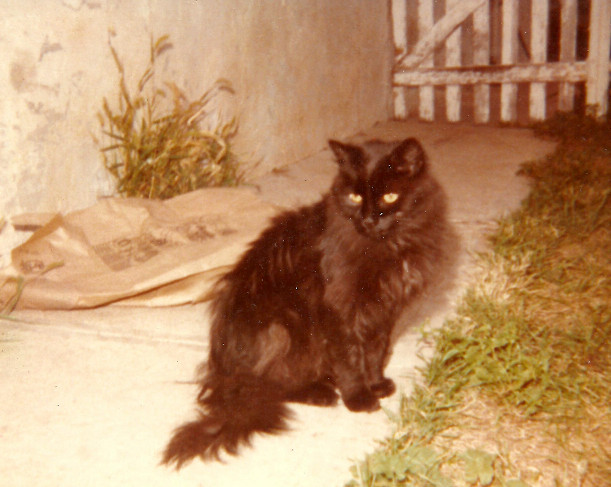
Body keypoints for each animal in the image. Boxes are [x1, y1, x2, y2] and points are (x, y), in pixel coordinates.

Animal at [163, 136, 450, 468]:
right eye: (354, 197)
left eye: (390, 196)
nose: (368, 219)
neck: (389, 247)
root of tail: (226, 376)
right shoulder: (341, 309)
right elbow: (351, 358)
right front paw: (359, 397)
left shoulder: (383, 313)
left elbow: (375, 352)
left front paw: (376, 383)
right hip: (284, 326)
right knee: (277, 385)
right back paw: (320, 393)